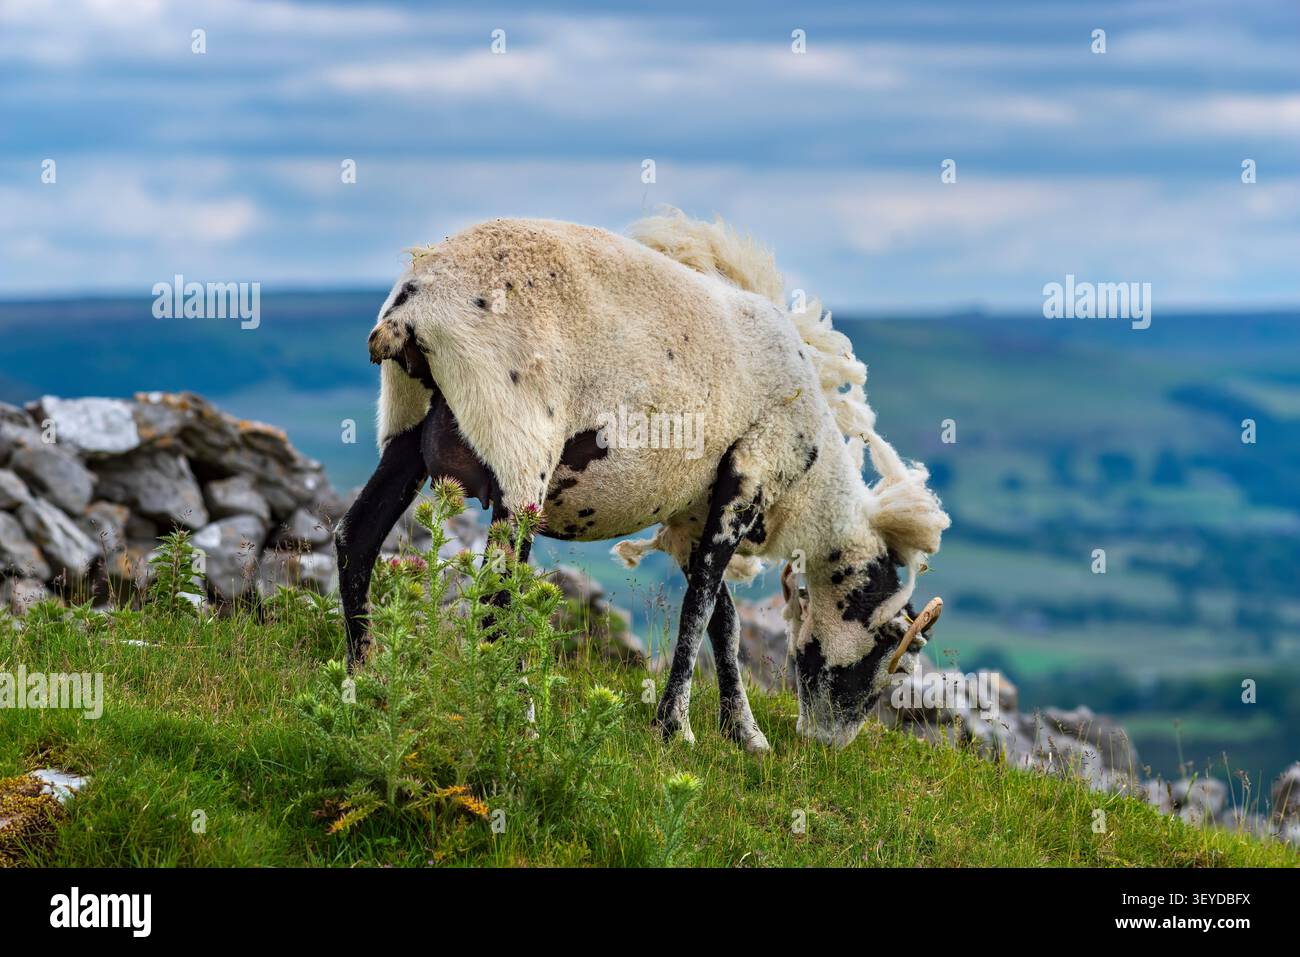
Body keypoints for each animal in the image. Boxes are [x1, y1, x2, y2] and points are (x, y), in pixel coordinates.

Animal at [335, 209, 949, 751]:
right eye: (890, 657)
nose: (827, 741)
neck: (810, 484)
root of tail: (413, 310)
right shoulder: (747, 479)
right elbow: (699, 607)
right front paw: (675, 728)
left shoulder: (694, 511)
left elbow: (724, 620)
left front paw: (743, 734)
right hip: (519, 451)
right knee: (499, 593)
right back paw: (520, 718)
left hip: (408, 425)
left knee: (356, 538)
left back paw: (364, 680)